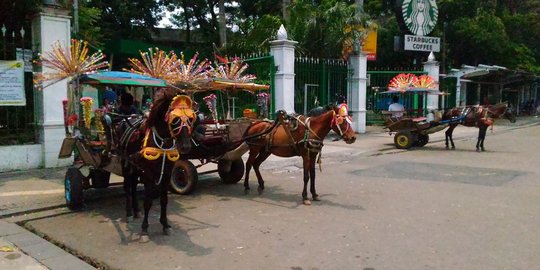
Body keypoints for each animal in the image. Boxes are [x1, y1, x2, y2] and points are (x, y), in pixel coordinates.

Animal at [113, 90, 196, 243]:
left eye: (190, 119)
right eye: (175, 119)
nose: (185, 146)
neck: (163, 141)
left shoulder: (167, 172)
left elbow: (164, 200)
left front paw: (166, 225)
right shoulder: (148, 173)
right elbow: (148, 201)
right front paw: (144, 230)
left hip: (136, 165)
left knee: (133, 185)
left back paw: (136, 211)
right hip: (125, 162)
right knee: (127, 186)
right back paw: (129, 213)